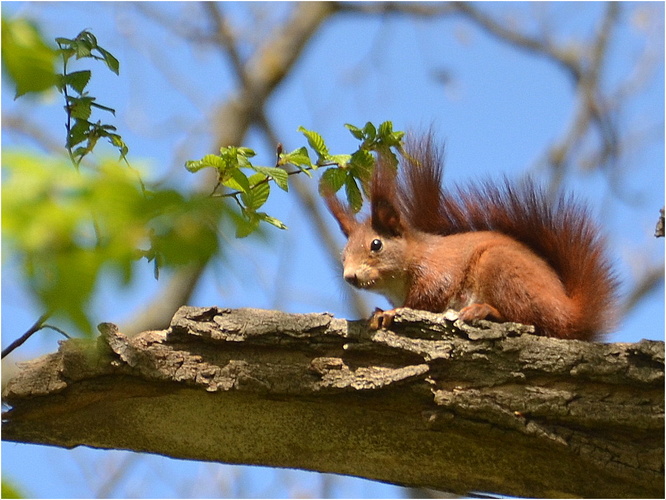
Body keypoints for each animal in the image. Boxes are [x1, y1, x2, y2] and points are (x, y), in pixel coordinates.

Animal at [324, 136, 616, 340]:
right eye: (343, 255)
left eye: (376, 244)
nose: (350, 276)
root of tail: (570, 313)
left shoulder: (438, 270)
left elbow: (427, 299)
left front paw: (391, 313)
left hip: (502, 269)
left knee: (532, 321)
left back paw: (484, 311)